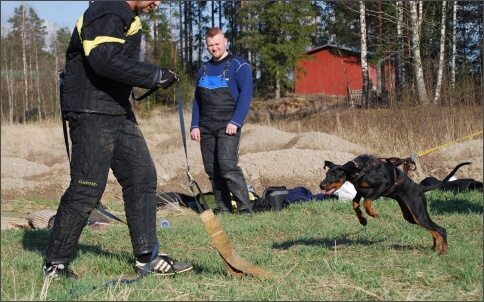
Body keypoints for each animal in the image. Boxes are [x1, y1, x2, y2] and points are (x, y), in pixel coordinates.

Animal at [320, 155, 470, 254]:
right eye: (327, 173)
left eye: (334, 174)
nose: (321, 185)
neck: (358, 169)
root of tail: (420, 188)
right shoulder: (360, 192)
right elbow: (355, 204)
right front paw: (363, 220)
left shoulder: (383, 185)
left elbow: (367, 202)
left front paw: (373, 213)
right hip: (411, 216)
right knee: (434, 231)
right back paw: (435, 247)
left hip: (418, 213)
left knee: (441, 230)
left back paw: (443, 252)